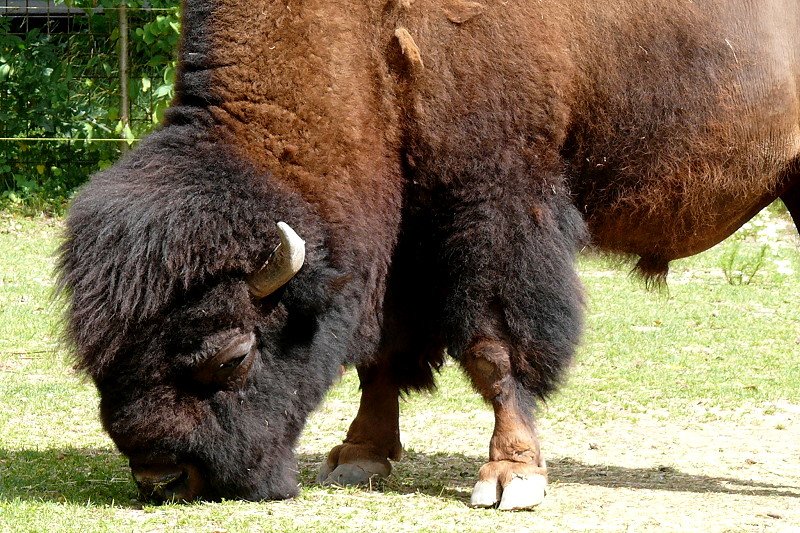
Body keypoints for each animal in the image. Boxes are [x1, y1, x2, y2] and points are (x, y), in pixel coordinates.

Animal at [57, 0, 800, 510]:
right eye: (99, 361)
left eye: (234, 356)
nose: (164, 477)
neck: (366, 42)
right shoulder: (400, 231)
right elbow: (381, 352)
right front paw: (359, 455)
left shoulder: (494, 203)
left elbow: (494, 346)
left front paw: (510, 478)